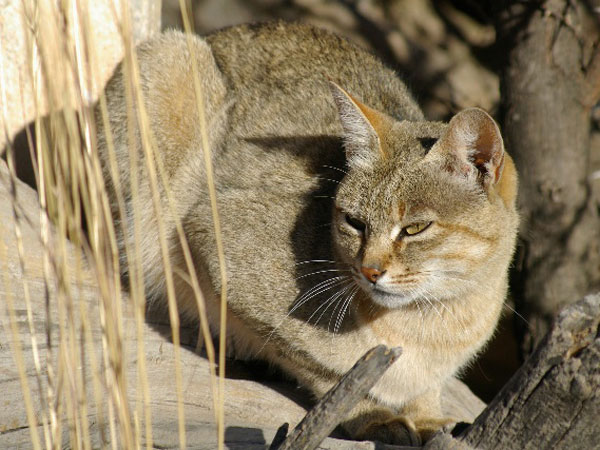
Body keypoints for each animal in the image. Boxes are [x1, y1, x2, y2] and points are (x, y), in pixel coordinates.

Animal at [96, 22, 516, 444]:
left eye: (415, 228)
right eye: (354, 222)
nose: (370, 271)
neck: (435, 320)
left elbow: (423, 389)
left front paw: (427, 414)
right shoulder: (212, 239)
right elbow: (324, 369)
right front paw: (372, 413)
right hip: (173, 65)